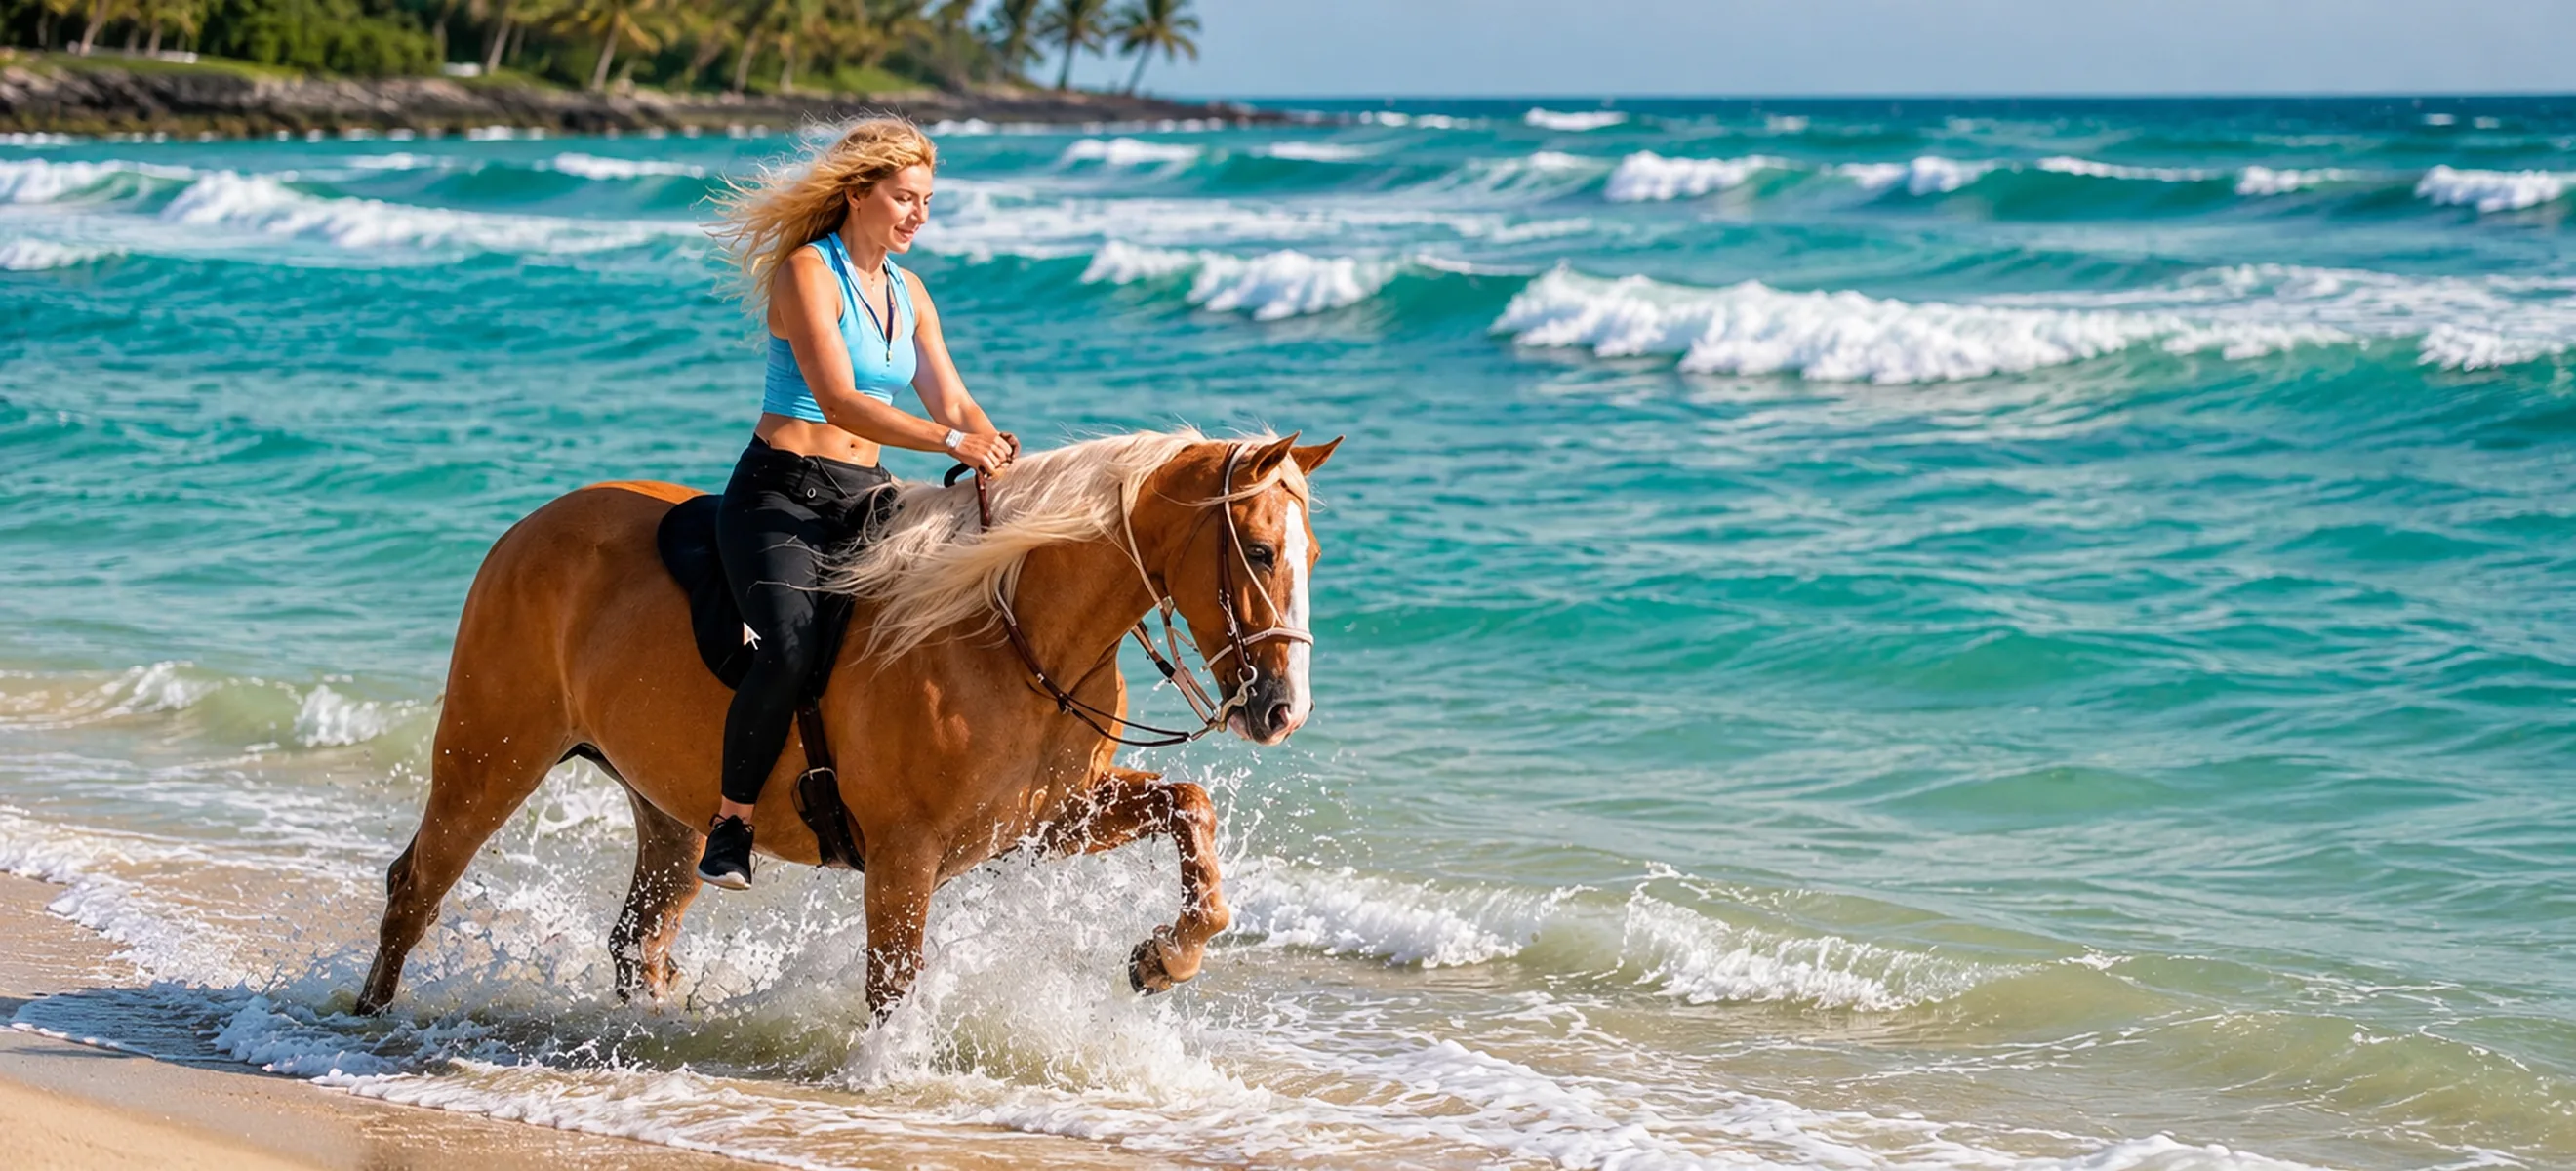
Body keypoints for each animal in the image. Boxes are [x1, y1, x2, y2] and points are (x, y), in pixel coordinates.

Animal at [356, 429, 1340, 1015]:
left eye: (1312, 553)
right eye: (1259, 550)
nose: (1282, 709)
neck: (1009, 627)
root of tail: (528, 528)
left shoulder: (1046, 821)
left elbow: (1188, 805)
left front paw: (1166, 958)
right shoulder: (905, 856)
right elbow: (893, 983)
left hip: (666, 812)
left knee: (640, 939)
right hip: (491, 757)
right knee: (417, 885)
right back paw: (369, 1017)